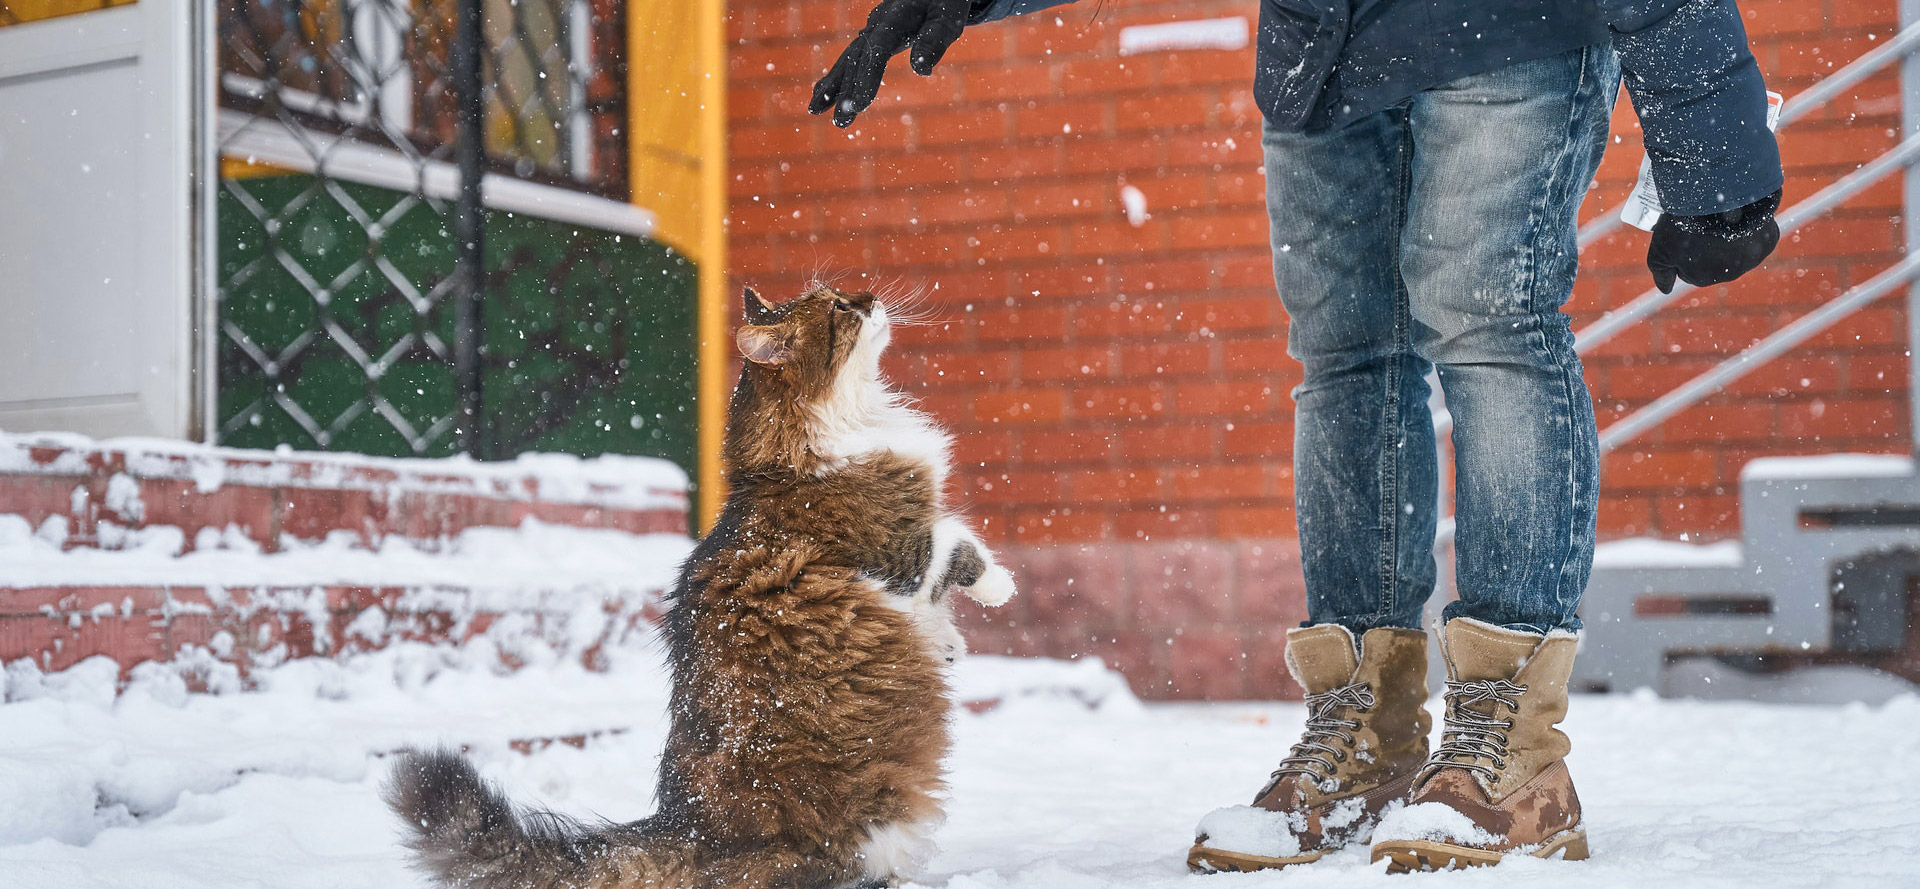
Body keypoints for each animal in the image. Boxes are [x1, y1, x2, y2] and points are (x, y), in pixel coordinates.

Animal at [385, 286, 1021, 889]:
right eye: (840, 309)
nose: (870, 300)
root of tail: (689, 829)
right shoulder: (899, 552)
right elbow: (960, 547)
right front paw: (1000, 587)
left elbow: (941, 588)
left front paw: (948, 643)